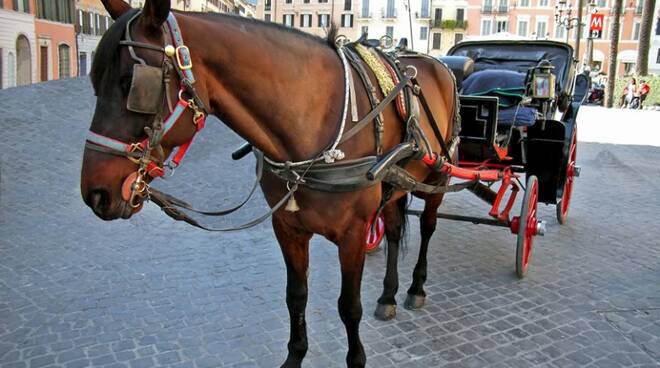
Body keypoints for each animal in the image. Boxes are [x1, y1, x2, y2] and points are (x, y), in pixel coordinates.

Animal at [80, 1, 456, 366]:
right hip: (395, 187)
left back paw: (415, 288)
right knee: (392, 230)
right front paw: (295, 354)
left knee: (427, 226)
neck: (313, 124)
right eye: (95, 82)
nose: (95, 193)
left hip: (440, 175)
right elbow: (296, 296)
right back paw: (388, 295)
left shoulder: (353, 233)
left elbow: (349, 307)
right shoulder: (287, 227)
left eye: (131, 85)